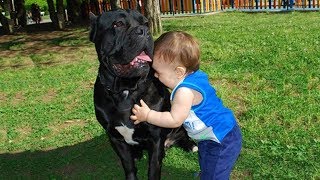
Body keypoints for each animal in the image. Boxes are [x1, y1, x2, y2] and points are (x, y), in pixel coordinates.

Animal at [89, 9, 196, 180]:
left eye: (146, 23)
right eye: (118, 24)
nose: (144, 31)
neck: (126, 89)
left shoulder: (155, 137)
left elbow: (153, 168)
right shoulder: (115, 138)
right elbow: (128, 166)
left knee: (182, 133)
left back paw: (190, 145)